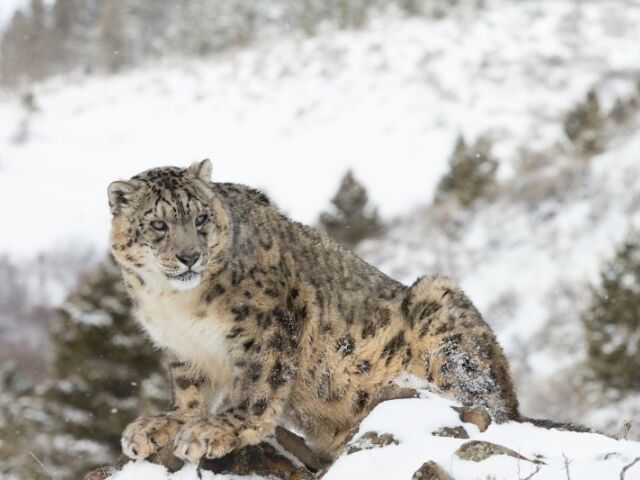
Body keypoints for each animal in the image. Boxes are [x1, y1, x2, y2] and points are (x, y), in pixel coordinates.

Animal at [107, 159, 520, 466]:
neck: (175, 304)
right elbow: (189, 391)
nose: (190, 255)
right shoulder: (183, 347)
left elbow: (259, 385)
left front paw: (217, 430)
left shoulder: (267, 324)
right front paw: (161, 425)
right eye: (158, 224)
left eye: (200, 218)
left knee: (482, 401)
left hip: (441, 310)